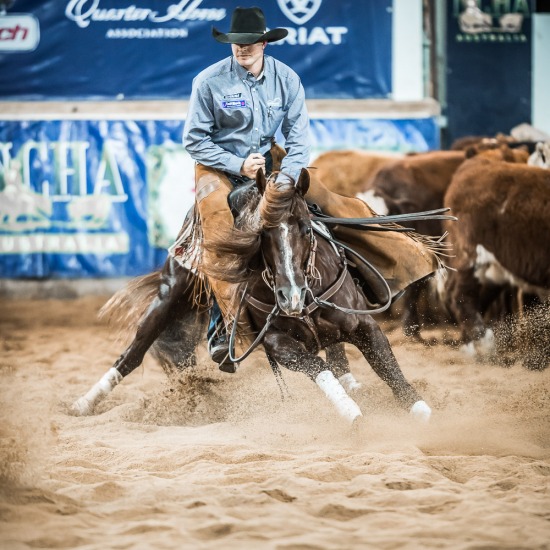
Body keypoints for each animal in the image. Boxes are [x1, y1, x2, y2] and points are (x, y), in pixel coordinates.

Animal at [73, 170, 438, 424]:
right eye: (261, 233)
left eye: (307, 227)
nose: (291, 295)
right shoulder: (277, 343)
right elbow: (317, 366)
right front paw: (352, 413)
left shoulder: (364, 326)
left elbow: (390, 371)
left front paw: (424, 413)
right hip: (170, 292)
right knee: (134, 351)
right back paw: (84, 403)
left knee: (337, 353)